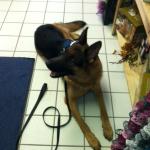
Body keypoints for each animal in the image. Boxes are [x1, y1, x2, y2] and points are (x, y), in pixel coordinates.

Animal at [34, 20, 113, 149]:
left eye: (71, 60)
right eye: (62, 52)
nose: (47, 63)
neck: (86, 79)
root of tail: (41, 27)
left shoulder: (98, 90)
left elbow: (104, 109)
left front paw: (107, 128)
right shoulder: (70, 101)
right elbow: (82, 123)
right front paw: (92, 139)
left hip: (64, 33)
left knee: (69, 31)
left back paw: (77, 36)